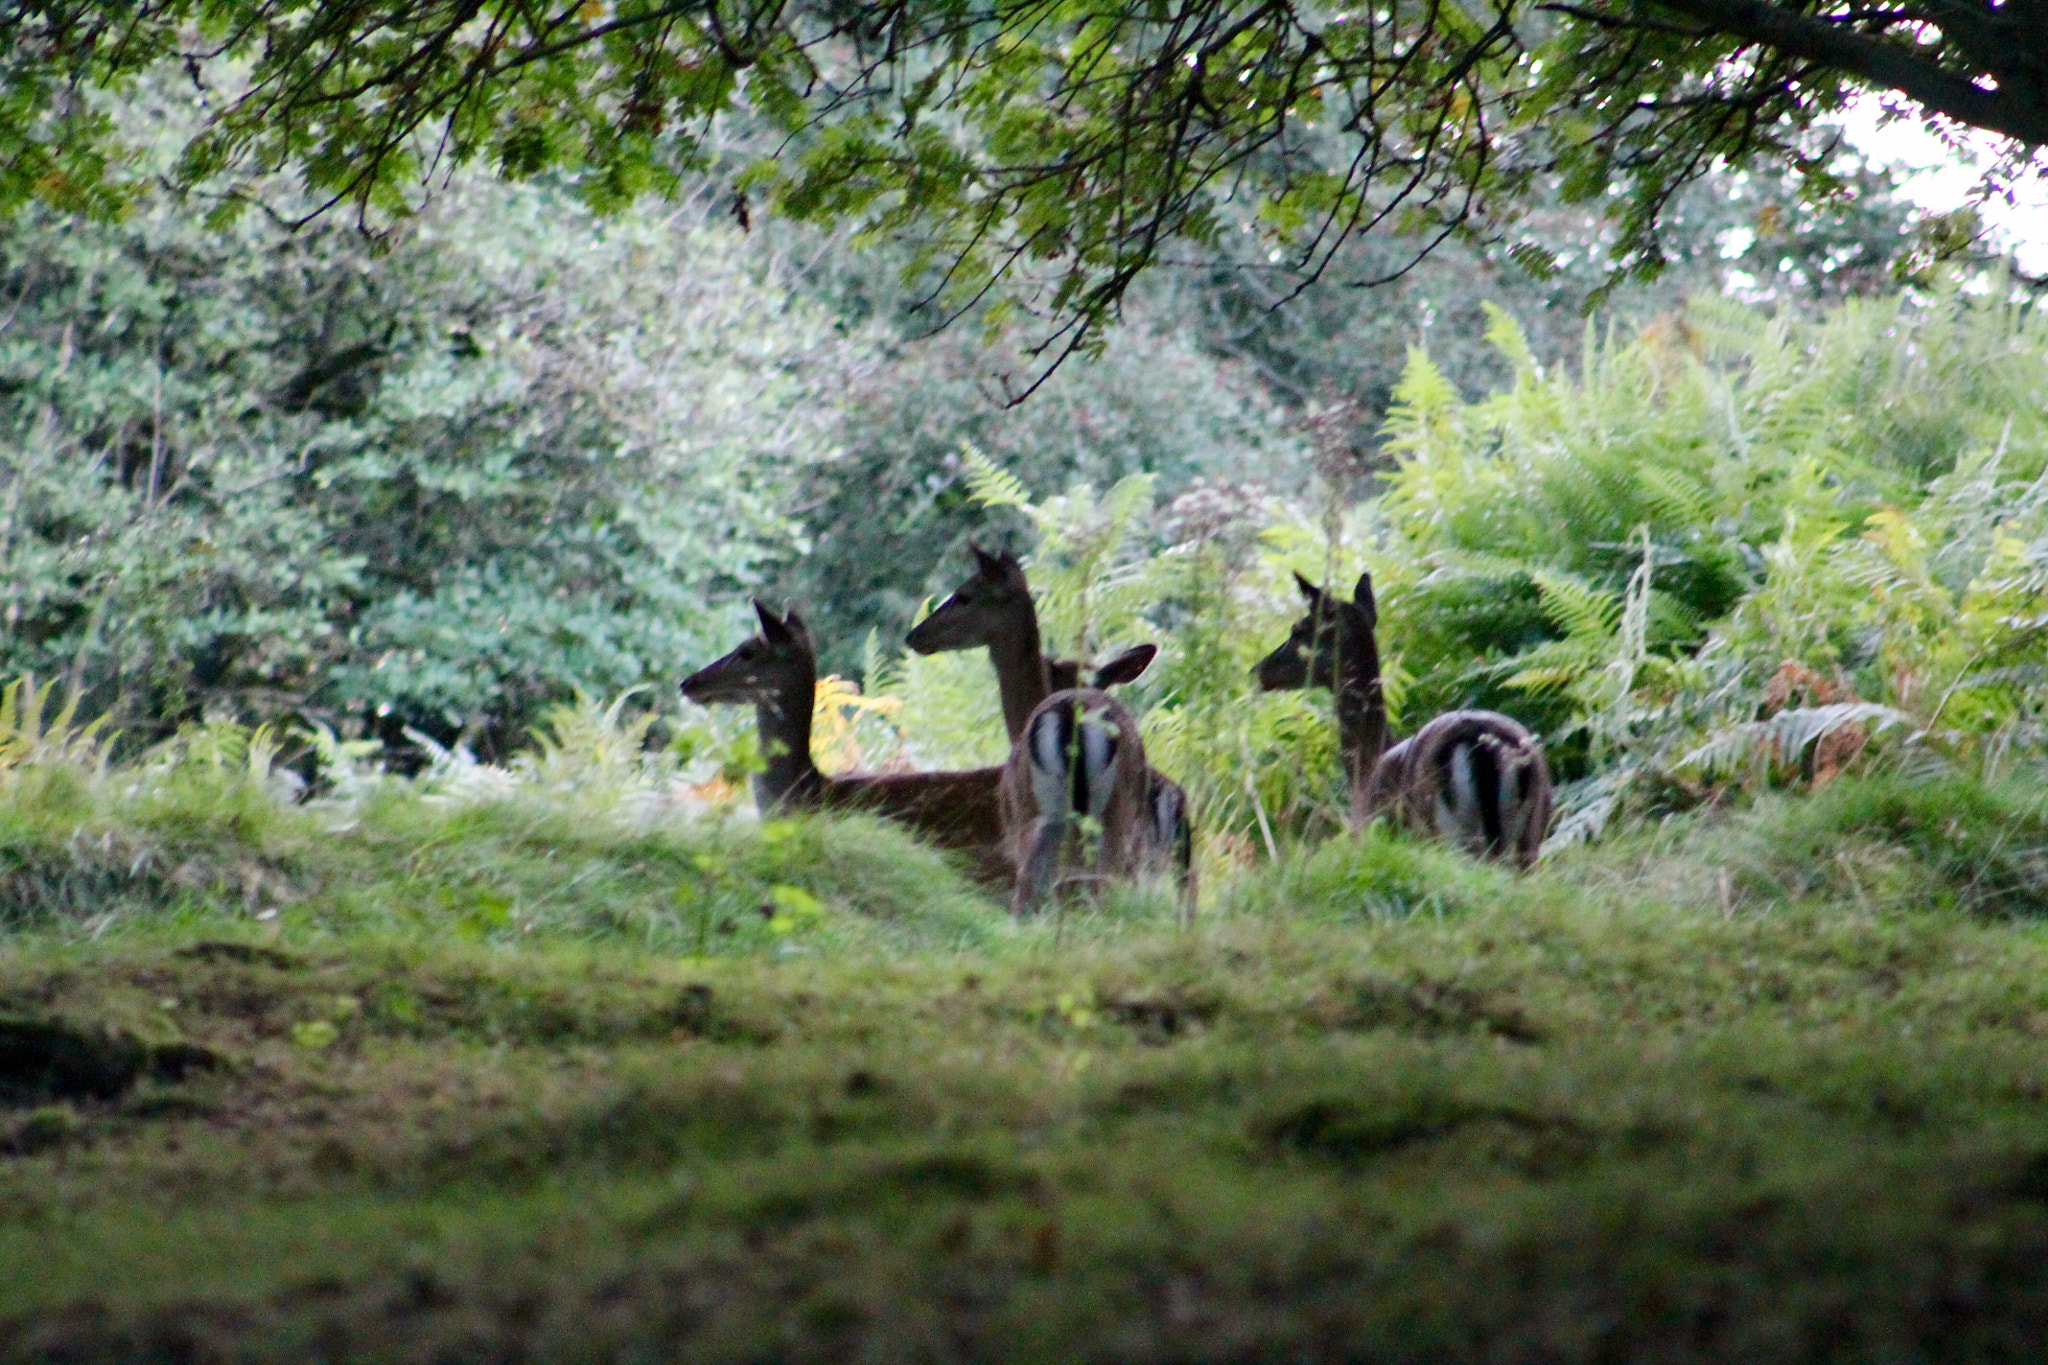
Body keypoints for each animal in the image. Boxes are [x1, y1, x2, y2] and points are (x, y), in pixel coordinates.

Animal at [1254, 569, 1552, 870]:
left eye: (1298, 630)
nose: (1258, 671)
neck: (1364, 770)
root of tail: (1482, 746)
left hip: (1446, 834)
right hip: (1530, 836)